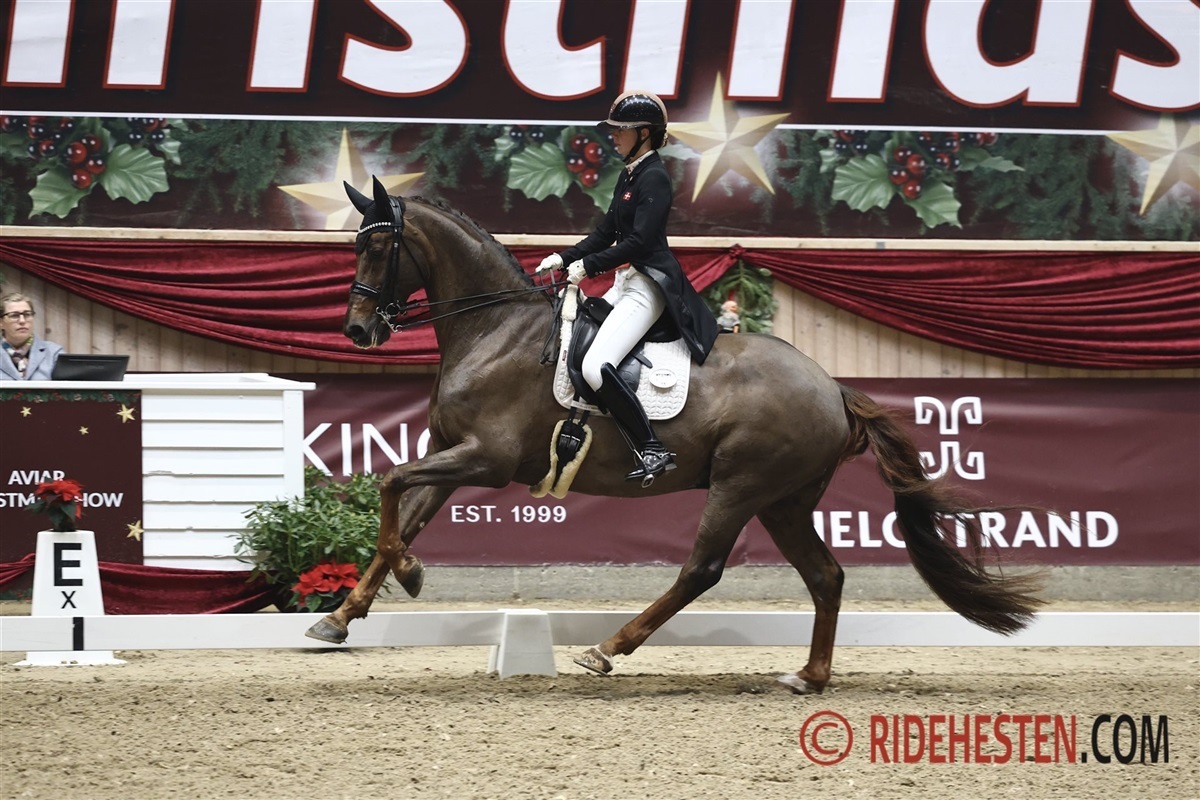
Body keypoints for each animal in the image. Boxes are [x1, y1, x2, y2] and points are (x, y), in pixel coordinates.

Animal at [304, 177, 1042, 694]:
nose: (358, 331)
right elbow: (404, 511)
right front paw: (343, 615)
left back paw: (608, 649)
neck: (494, 329)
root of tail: (832, 386)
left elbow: (390, 484)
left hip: (742, 485)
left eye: (377, 246)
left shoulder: (485, 460)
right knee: (825, 576)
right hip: (784, 500)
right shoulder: (451, 454)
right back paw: (808, 677)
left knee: (702, 569)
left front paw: (408, 575)